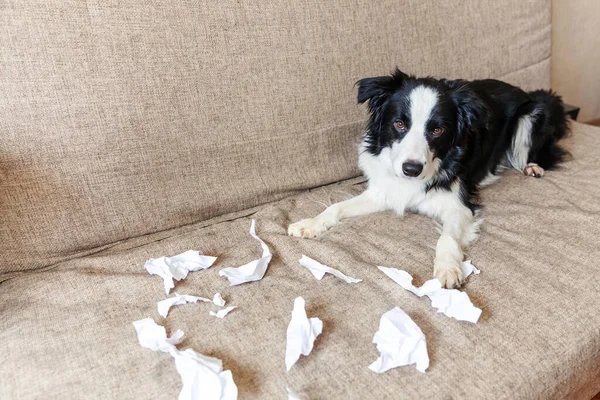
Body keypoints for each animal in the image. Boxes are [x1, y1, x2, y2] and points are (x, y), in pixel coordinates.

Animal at [286, 69, 568, 288]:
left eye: (437, 130)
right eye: (399, 124)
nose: (411, 169)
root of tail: (526, 91)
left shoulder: (459, 206)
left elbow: (448, 237)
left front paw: (448, 269)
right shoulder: (384, 191)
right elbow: (336, 207)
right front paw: (309, 224)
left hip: (532, 114)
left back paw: (532, 167)